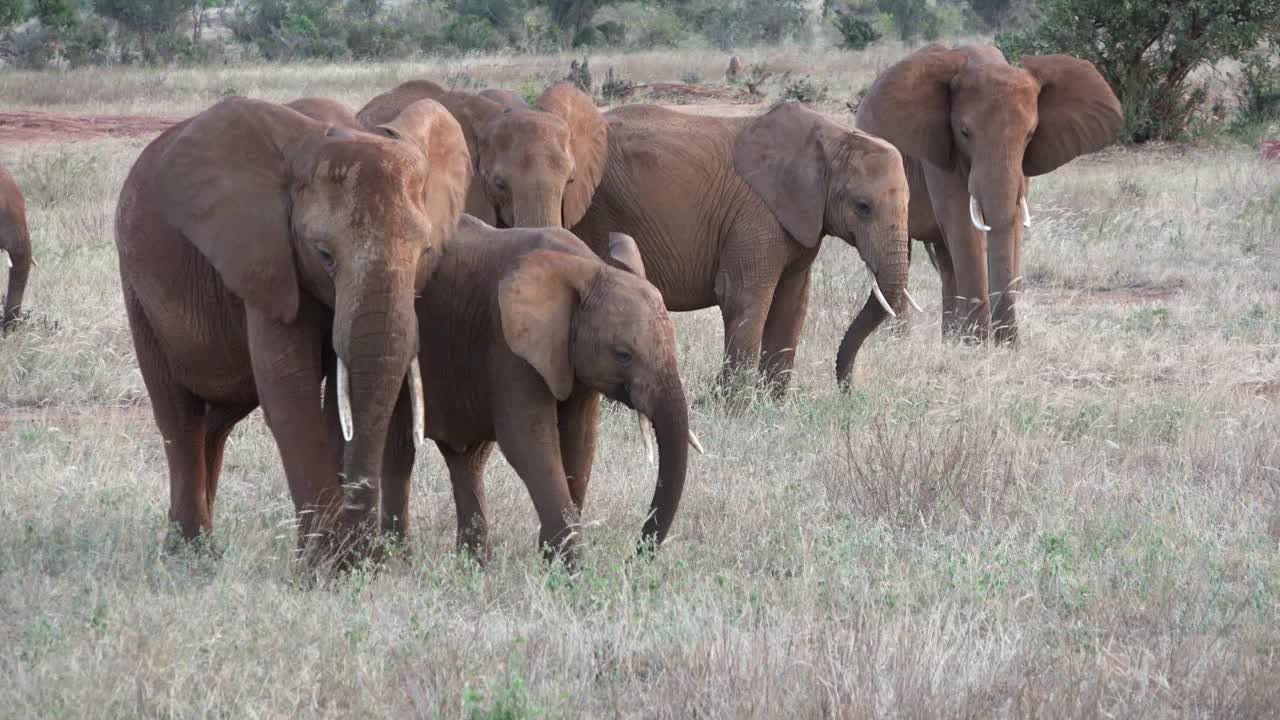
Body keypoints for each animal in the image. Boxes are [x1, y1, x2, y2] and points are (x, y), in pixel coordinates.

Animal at [576, 99, 916, 392]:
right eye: (863, 207)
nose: (847, 392)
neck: (834, 137)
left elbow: (792, 302)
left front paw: (771, 406)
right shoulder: (756, 215)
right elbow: (743, 296)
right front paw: (735, 408)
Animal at [860, 42, 1121, 345]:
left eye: (1030, 134)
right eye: (964, 132)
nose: (1007, 340)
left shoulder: (1023, 164)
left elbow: (1012, 220)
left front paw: (989, 344)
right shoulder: (939, 152)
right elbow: (963, 223)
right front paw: (979, 345)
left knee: (946, 259)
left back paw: (951, 340)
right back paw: (900, 341)